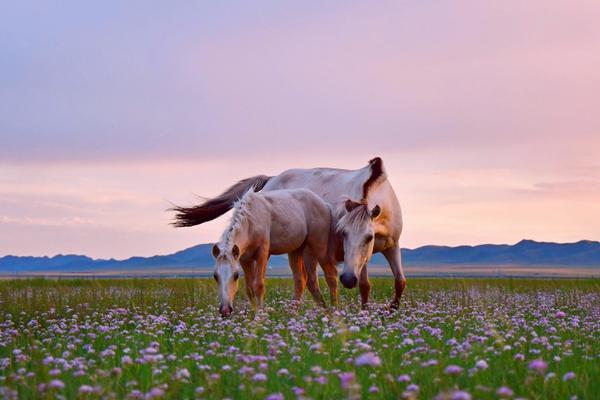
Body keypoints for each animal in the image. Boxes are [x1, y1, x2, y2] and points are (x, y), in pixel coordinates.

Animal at [211, 188, 340, 316]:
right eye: (215, 276)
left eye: (236, 275)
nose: (225, 310)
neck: (251, 221)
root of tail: (324, 205)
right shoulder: (245, 260)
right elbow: (249, 289)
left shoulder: (262, 254)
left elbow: (258, 285)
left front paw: (260, 316)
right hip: (296, 250)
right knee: (301, 281)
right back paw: (294, 314)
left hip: (319, 247)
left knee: (331, 276)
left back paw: (335, 310)